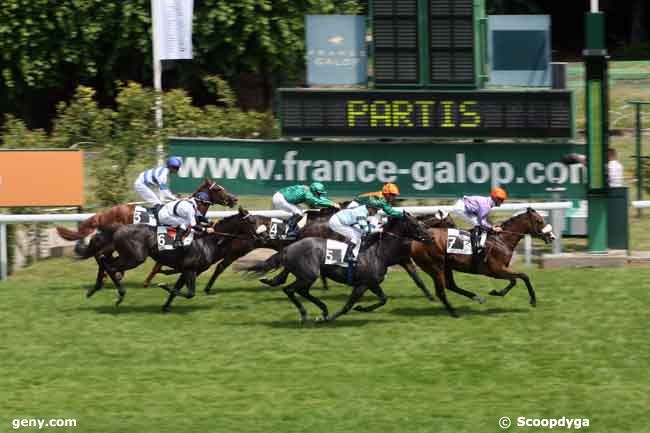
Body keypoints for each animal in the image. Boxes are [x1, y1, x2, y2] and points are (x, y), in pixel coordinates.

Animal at [242, 214, 430, 322]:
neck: (378, 251)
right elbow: (348, 305)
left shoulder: (370, 283)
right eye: (416, 224)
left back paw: (322, 309)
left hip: (307, 276)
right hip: (308, 275)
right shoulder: (364, 283)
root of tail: (288, 248)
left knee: (300, 290)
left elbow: (383, 299)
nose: (428, 237)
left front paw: (362, 308)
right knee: (290, 290)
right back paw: (306, 314)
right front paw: (331, 318)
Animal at [410, 208, 552, 316]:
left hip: (446, 266)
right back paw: (454, 313)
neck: (501, 240)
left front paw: (497, 292)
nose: (552, 237)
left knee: (450, 285)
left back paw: (476, 298)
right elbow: (524, 276)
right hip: (435, 267)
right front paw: (533, 300)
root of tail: (418, 240)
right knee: (441, 291)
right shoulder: (496, 270)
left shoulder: (500, 270)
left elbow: (514, 280)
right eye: (539, 221)